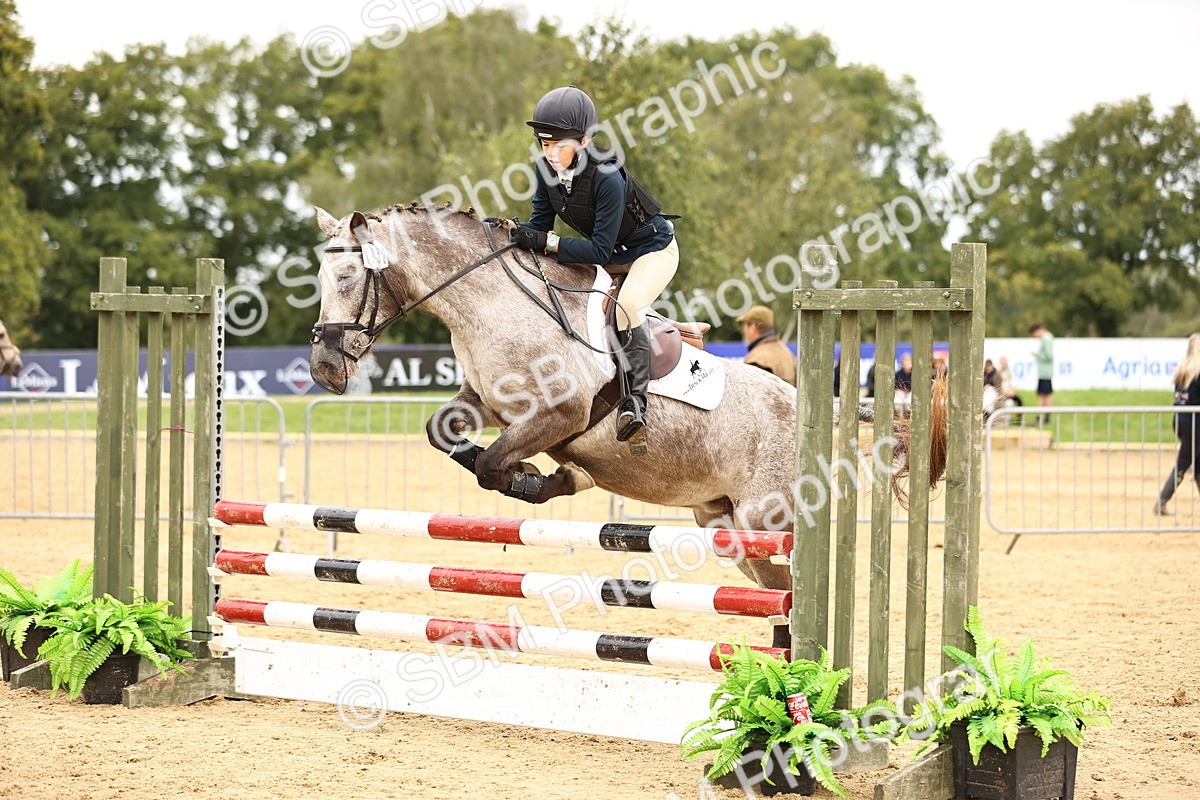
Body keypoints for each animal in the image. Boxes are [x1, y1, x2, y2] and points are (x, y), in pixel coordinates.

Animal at [308, 204, 946, 648]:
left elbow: (491, 464)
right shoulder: (486, 403)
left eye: (349, 278)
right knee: (780, 593)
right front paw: (554, 478)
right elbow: (444, 431)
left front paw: (533, 478)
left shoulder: (559, 414)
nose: (323, 369)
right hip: (728, 526)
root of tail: (820, 408)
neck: (490, 307)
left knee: (795, 592)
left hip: (768, 518)